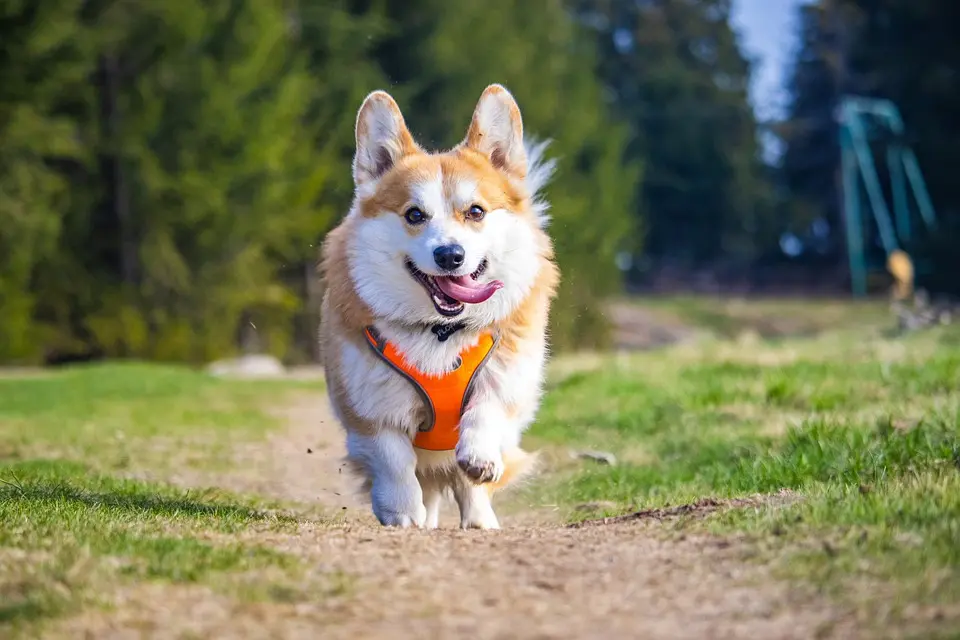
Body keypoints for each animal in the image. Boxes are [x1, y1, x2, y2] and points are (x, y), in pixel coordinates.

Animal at [318, 84, 560, 528]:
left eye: (476, 211)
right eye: (415, 215)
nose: (450, 255)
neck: (441, 330)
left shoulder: (506, 378)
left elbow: (486, 411)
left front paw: (479, 458)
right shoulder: (370, 410)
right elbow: (394, 460)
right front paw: (402, 512)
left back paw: (480, 521)